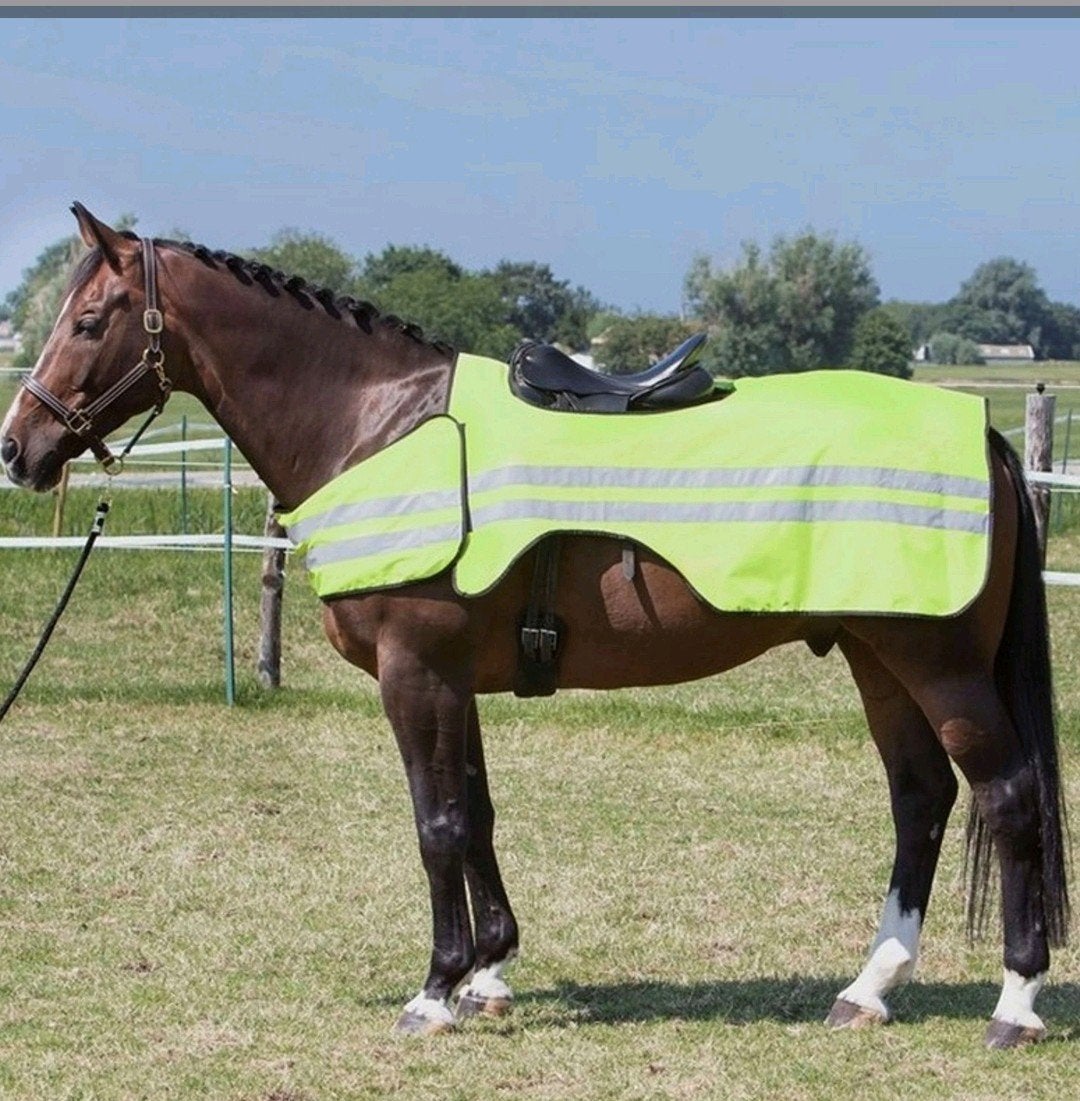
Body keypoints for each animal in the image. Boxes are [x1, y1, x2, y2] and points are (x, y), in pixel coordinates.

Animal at [0, 205, 1069, 1049]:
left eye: (88, 320)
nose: (19, 447)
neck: (381, 425)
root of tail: (981, 433)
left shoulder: (416, 672)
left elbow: (435, 825)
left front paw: (435, 991)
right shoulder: (452, 678)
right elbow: (474, 815)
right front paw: (488, 973)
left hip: (938, 665)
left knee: (1009, 795)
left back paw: (1016, 1003)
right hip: (876, 657)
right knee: (922, 797)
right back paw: (868, 988)